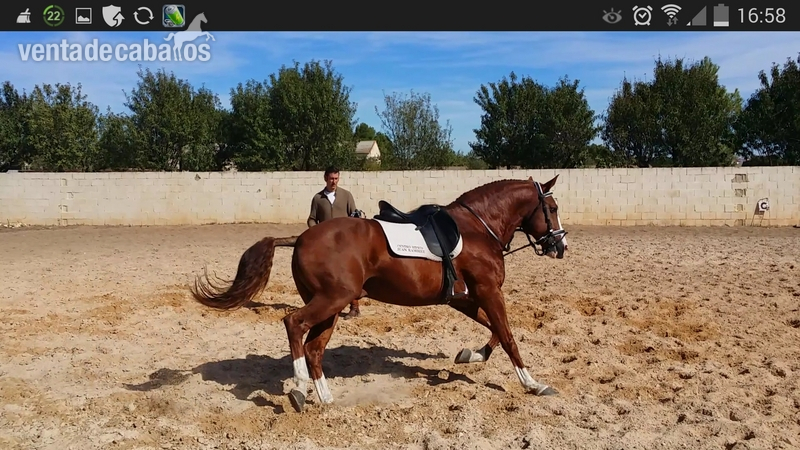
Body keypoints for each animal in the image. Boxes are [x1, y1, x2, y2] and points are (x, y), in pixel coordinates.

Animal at [192, 175, 567, 412]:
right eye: (552, 208)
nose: (560, 246)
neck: (477, 228)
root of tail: (301, 238)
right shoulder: (487, 291)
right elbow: (507, 335)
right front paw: (533, 384)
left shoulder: (464, 297)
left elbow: (494, 330)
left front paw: (470, 356)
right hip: (331, 300)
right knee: (293, 324)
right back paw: (298, 388)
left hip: (331, 307)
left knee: (314, 348)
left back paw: (325, 398)